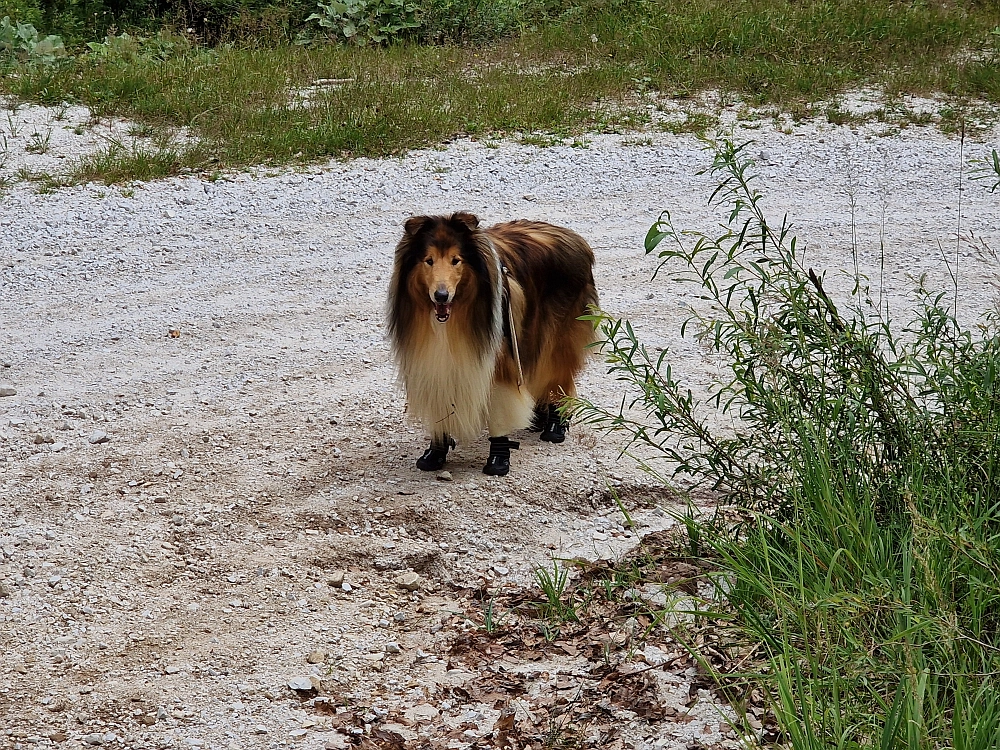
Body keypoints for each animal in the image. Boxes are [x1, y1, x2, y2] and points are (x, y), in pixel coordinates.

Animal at [386, 212, 596, 476]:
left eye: (456, 260)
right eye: (429, 261)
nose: (441, 296)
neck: (452, 319)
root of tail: (576, 239)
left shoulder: (500, 357)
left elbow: (499, 409)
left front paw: (498, 458)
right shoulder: (433, 359)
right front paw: (436, 451)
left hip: (557, 338)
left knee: (559, 377)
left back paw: (555, 425)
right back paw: (538, 417)